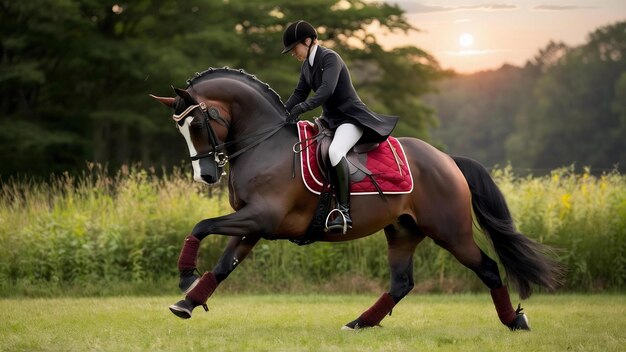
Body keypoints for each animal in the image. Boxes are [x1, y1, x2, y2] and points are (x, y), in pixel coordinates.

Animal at [150, 67, 560, 332]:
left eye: (197, 124)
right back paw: (360, 322)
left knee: (488, 268)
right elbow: (223, 265)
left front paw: (185, 276)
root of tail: (447, 160)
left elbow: (202, 226)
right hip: (402, 231)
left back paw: (515, 321)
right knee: (401, 283)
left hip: (450, 231)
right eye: (180, 128)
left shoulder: (260, 217)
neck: (264, 144)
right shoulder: (254, 223)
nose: (205, 176)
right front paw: (187, 302)